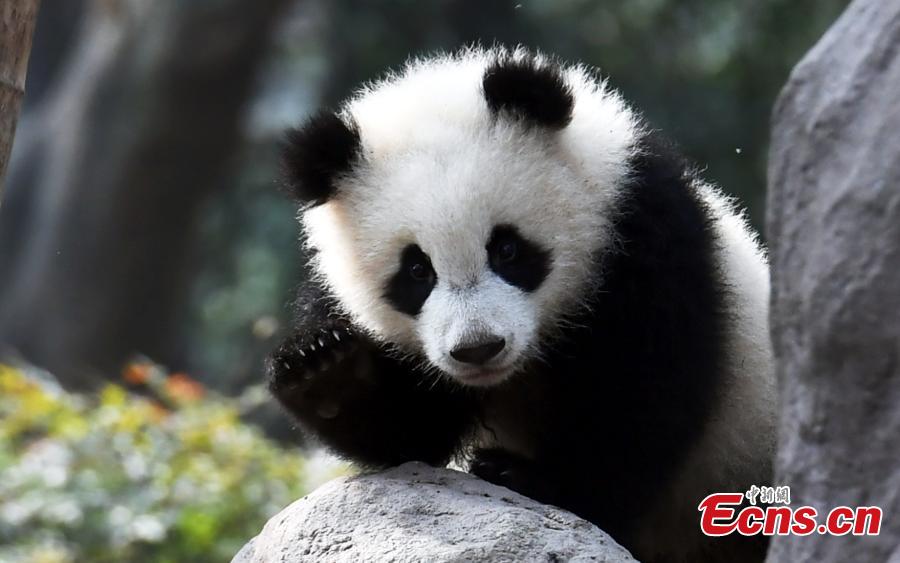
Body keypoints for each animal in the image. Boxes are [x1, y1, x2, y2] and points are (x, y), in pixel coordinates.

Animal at [267, 47, 776, 563]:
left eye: (507, 250)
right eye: (416, 271)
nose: (477, 348)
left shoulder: (644, 242)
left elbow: (641, 395)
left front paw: (530, 478)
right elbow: (411, 436)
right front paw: (326, 368)